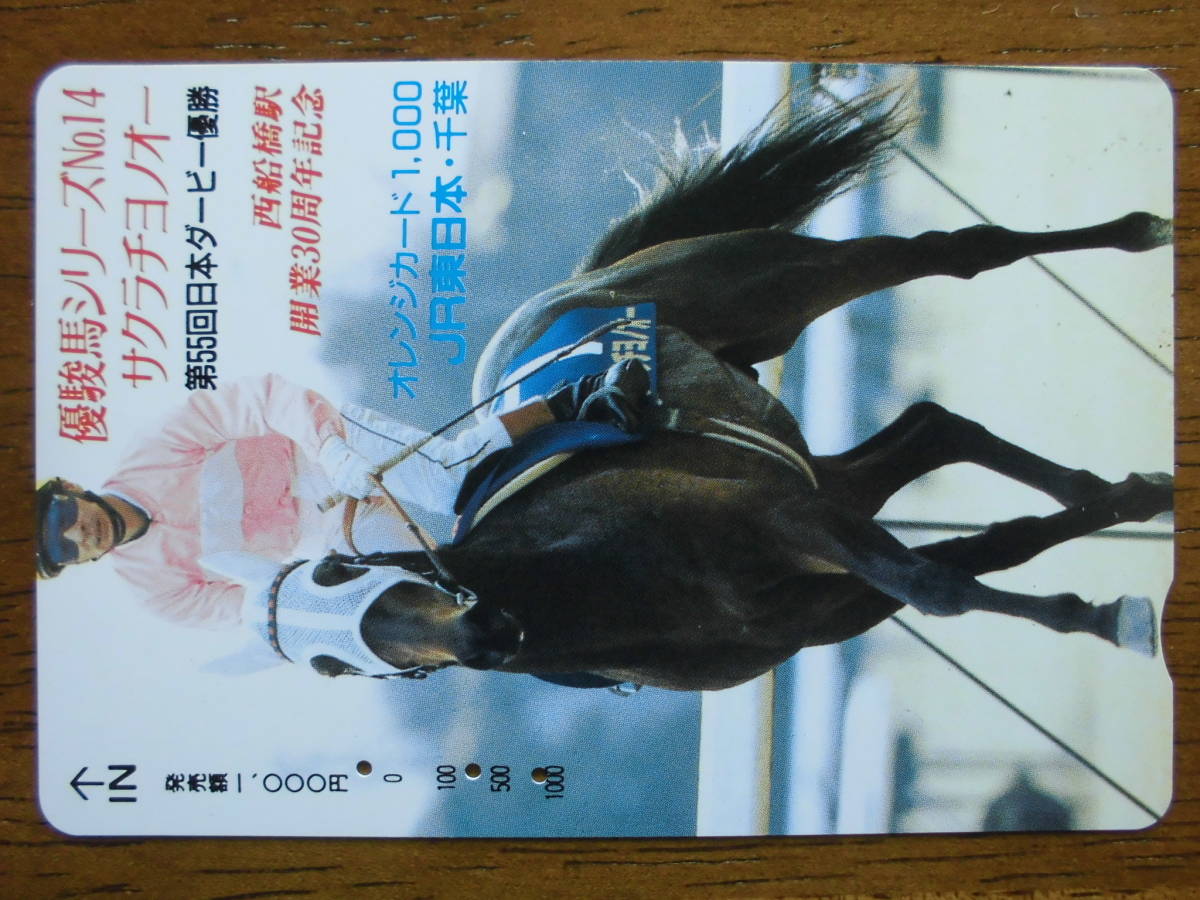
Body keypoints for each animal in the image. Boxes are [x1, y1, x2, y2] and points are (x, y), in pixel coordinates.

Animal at [268, 88, 1174, 691]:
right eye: (330, 663)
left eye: (338, 576)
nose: (485, 635)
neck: (603, 580)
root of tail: (587, 277)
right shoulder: (821, 593)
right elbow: (975, 562)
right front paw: (1104, 587)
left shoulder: (790, 518)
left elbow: (943, 584)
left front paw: (1113, 617)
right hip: (816, 461)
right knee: (933, 427)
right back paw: (1129, 492)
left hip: (788, 282)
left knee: (959, 251)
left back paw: (1144, 231)